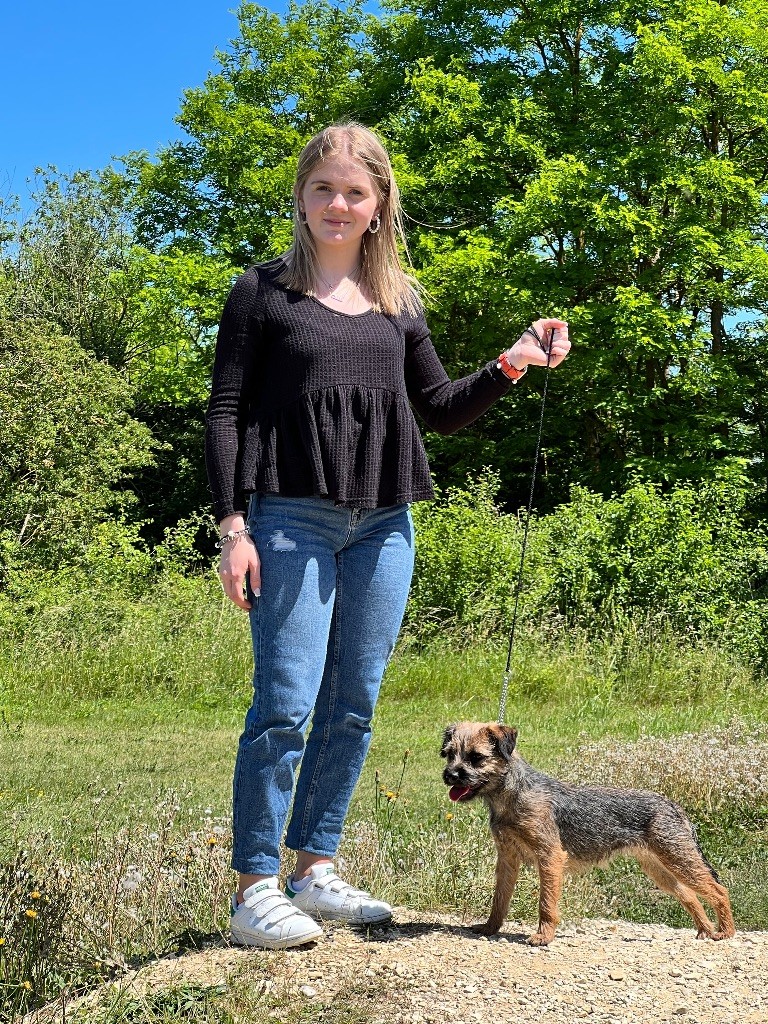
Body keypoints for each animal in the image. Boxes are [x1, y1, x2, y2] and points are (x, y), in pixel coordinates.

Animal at [442, 720, 737, 942]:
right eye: (449, 753)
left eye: (476, 758)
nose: (450, 775)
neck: (513, 794)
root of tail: (674, 805)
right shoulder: (507, 859)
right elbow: (499, 899)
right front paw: (489, 928)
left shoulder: (550, 857)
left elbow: (546, 903)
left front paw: (543, 936)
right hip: (660, 868)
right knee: (690, 895)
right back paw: (704, 930)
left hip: (678, 859)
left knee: (718, 890)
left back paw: (725, 931)